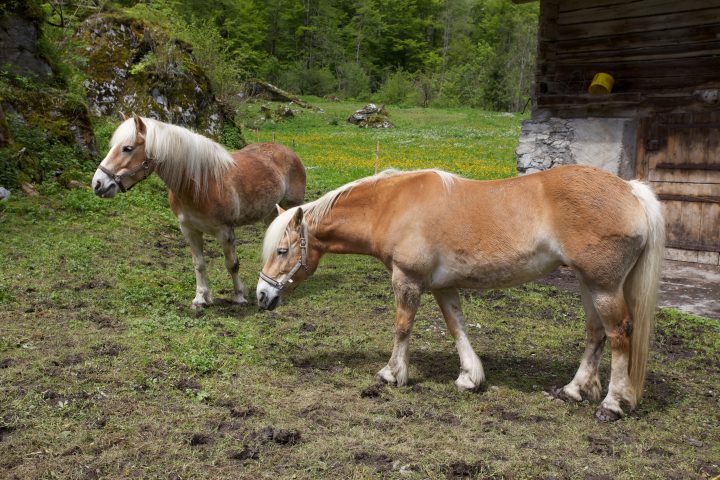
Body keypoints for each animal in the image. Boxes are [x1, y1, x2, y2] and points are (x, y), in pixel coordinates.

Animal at [92, 115, 306, 308]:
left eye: (127, 148)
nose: (98, 184)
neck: (201, 184)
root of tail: (288, 152)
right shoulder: (189, 230)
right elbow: (199, 264)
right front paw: (201, 298)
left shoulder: (225, 231)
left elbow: (232, 264)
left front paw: (239, 296)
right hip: (271, 212)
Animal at [256, 165, 664, 421]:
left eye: (282, 251)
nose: (262, 295)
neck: (392, 207)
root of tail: (631, 190)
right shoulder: (444, 286)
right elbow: (457, 328)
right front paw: (470, 377)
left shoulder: (407, 279)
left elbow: (402, 327)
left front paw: (392, 374)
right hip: (588, 283)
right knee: (595, 334)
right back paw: (574, 390)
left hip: (603, 286)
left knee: (618, 335)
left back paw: (612, 404)